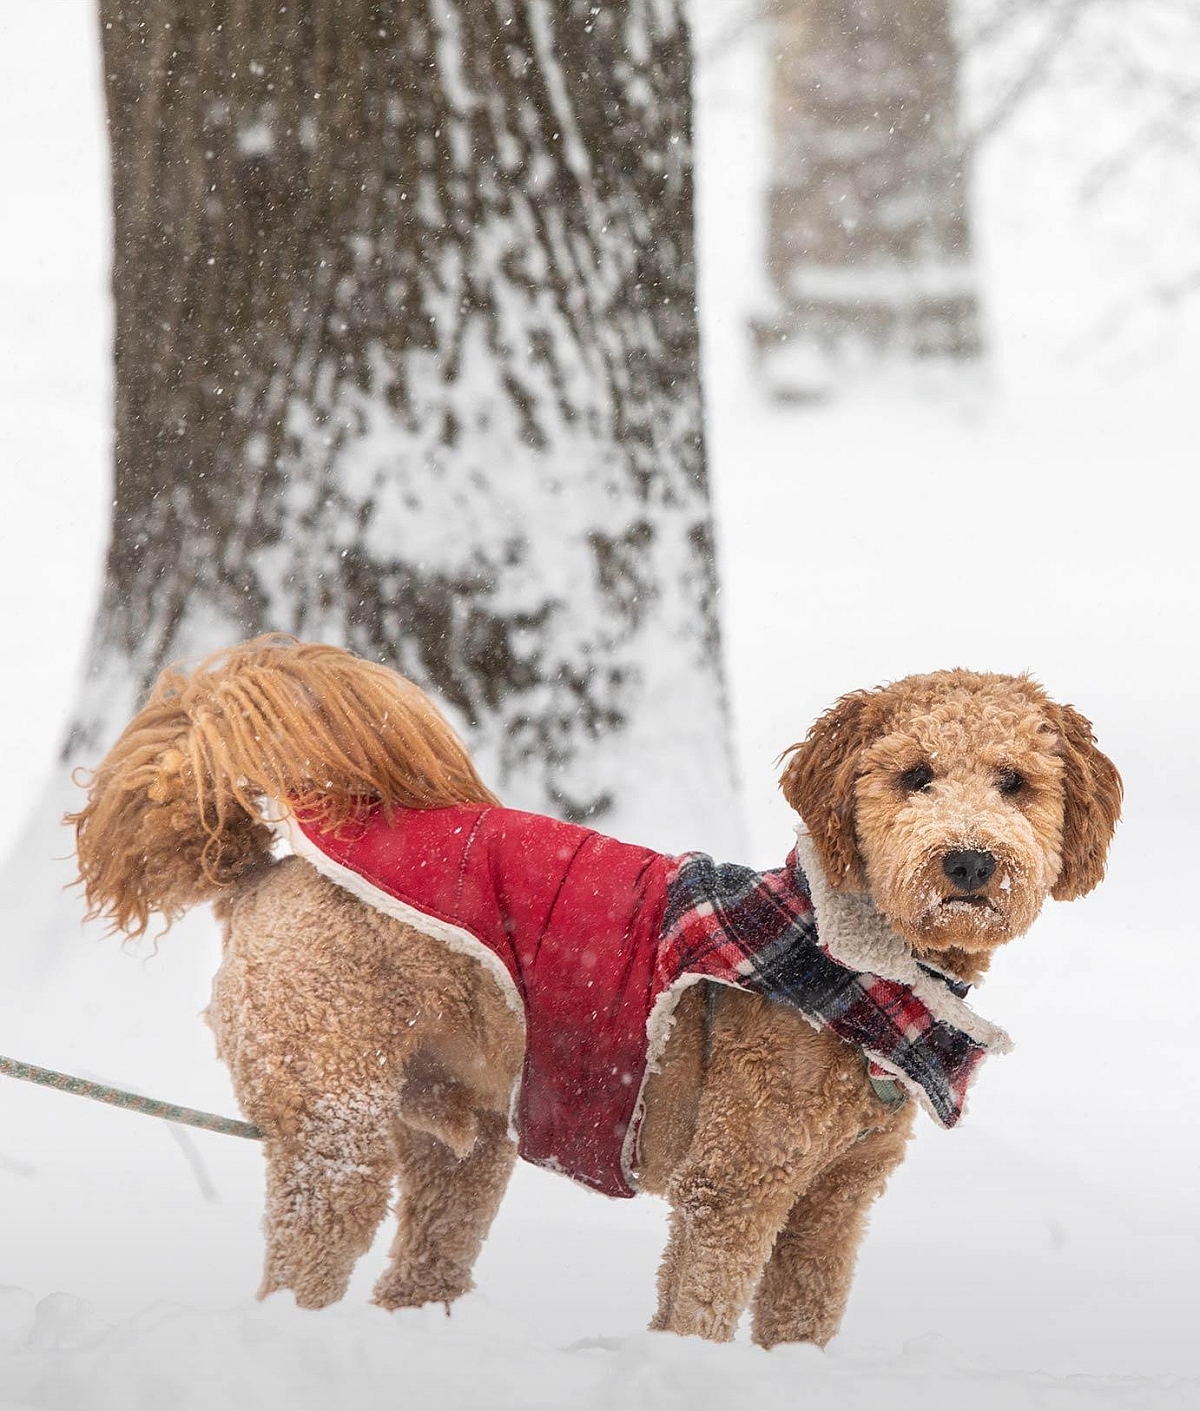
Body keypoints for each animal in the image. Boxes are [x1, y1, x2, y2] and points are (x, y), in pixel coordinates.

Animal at [70, 637, 1118, 1343]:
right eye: (913, 775)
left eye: (1015, 782)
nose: (970, 861)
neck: (853, 966)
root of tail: (265, 868)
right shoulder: (733, 1186)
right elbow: (698, 1305)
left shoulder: (833, 1205)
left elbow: (802, 1318)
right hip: (335, 1125)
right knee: (301, 1262)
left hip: (462, 1141)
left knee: (419, 1261)